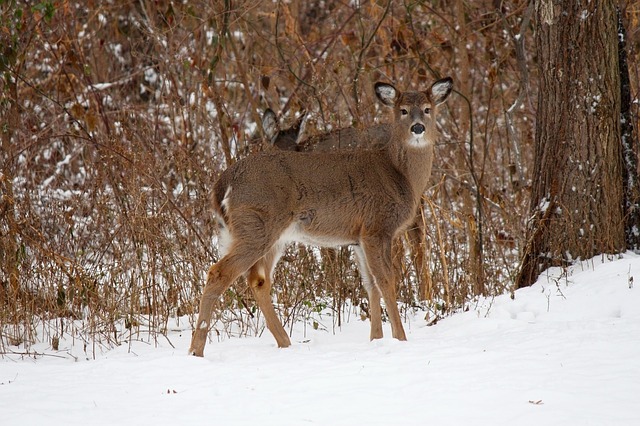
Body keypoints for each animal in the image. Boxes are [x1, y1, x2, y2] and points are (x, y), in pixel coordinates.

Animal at [188, 76, 452, 356]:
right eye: (402, 110)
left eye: (427, 108)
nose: (417, 127)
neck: (400, 175)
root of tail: (222, 184)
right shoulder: (377, 227)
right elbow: (386, 281)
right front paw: (400, 338)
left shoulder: (359, 237)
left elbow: (370, 285)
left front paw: (376, 340)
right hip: (257, 225)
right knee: (219, 273)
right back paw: (196, 350)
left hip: (265, 234)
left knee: (258, 280)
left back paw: (285, 342)